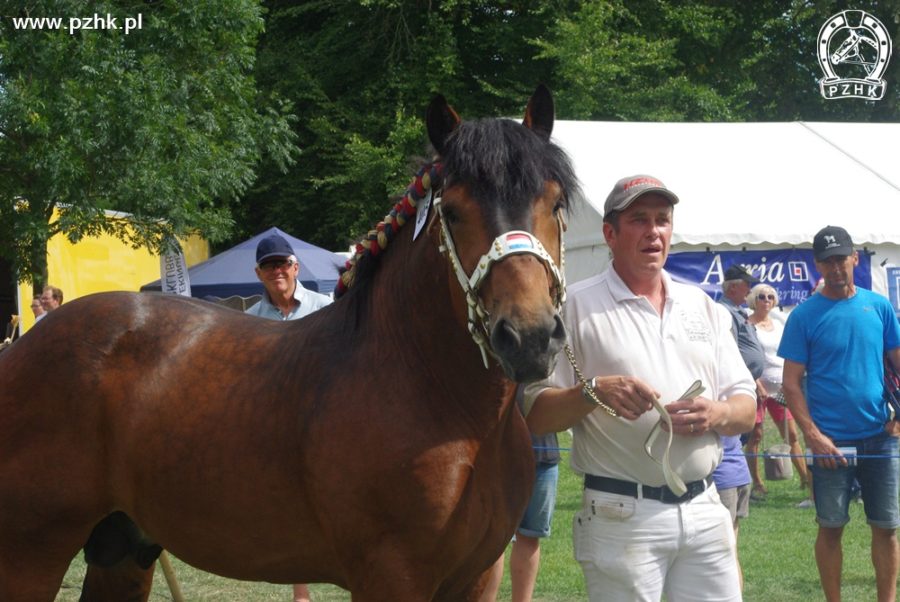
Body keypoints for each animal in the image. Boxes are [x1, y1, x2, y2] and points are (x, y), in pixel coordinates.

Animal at [0, 85, 576, 600]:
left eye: (555, 205)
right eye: (452, 211)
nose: (529, 336)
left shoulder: (476, 578)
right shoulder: (391, 576)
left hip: (123, 550)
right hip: (30, 552)